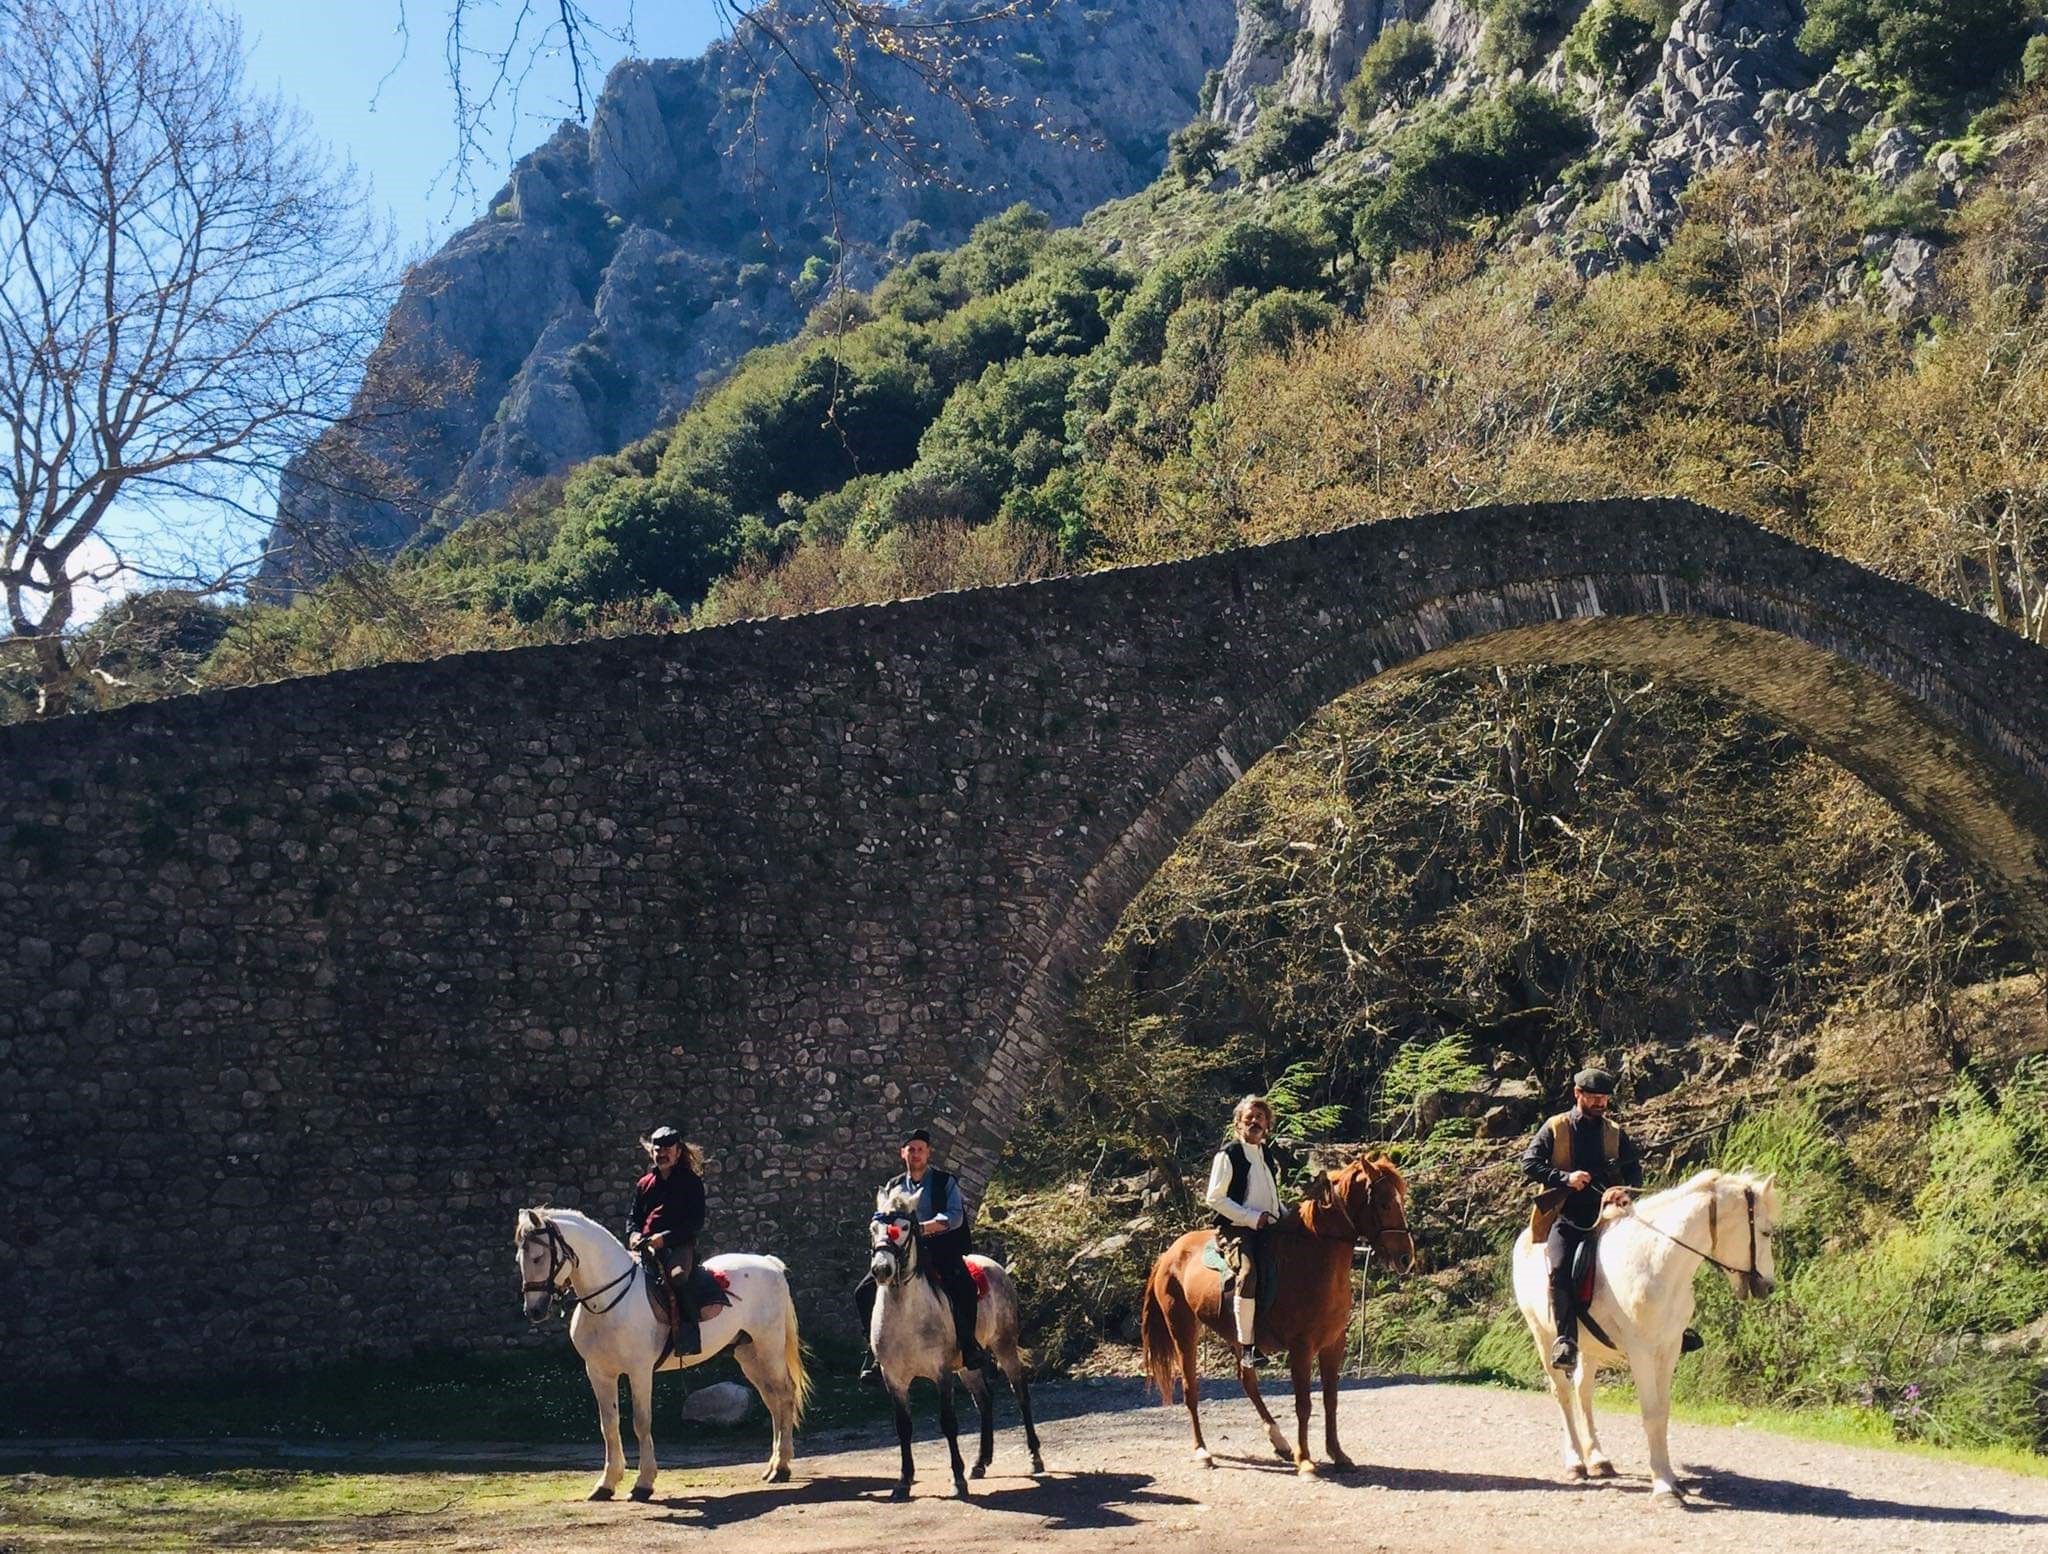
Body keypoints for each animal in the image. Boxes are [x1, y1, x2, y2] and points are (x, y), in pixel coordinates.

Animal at [516, 1212, 811, 1498]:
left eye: (538, 1257)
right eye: (520, 1259)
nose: (534, 1311)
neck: (609, 1302)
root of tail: (769, 1264)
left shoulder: (640, 1372)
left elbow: (641, 1422)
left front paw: (644, 1483)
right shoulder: (599, 1373)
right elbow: (608, 1425)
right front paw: (606, 1484)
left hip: (769, 1348)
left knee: (785, 1395)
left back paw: (782, 1468)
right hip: (749, 1355)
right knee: (772, 1400)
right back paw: (773, 1465)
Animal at [864, 1187, 1040, 1498]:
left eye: (905, 1228)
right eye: (874, 1229)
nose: (882, 1269)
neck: (905, 1314)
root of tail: (992, 1264)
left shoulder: (942, 1373)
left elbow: (948, 1422)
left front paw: (957, 1479)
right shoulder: (893, 1378)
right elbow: (903, 1427)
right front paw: (903, 1481)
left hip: (1004, 1346)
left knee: (1020, 1393)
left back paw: (1034, 1457)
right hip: (968, 1366)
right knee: (984, 1400)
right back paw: (980, 1463)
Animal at [1138, 1162, 1409, 1474]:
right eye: (1384, 1203)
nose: (1406, 1258)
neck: (1311, 1258)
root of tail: (1168, 1254)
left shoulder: (1333, 1344)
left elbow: (1331, 1400)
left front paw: (1338, 1454)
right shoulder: (1301, 1348)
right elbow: (1303, 1404)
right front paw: (1306, 1462)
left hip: (1237, 1339)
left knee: (1247, 1380)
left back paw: (1278, 1440)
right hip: (1182, 1329)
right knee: (1190, 1389)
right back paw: (1202, 1451)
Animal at [1507, 1171, 1777, 1498]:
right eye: (1765, 1232)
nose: (1769, 1286)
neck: (1654, 1263)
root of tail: (1525, 1239)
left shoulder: (1669, 1348)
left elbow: (1661, 1412)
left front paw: (1670, 1478)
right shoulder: (1641, 1352)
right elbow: (1650, 1412)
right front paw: (1663, 1487)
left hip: (1590, 1346)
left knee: (1583, 1392)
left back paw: (1597, 1459)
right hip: (1543, 1335)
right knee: (1562, 1393)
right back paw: (1575, 1463)